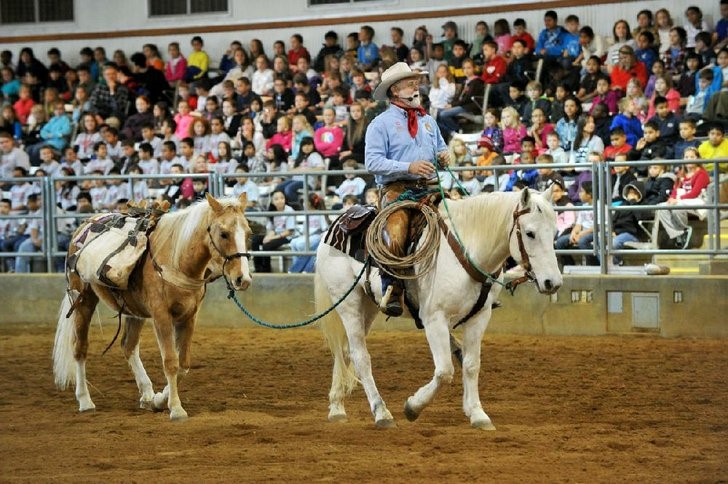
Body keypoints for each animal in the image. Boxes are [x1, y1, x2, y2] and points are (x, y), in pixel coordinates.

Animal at [54, 193, 253, 420]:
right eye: (224, 233)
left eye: (248, 233)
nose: (243, 279)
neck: (176, 259)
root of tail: (83, 227)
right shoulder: (161, 316)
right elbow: (170, 362)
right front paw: (176, 408)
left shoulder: (189, 316)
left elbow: (183, 364)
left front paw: (159, 400)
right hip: (83, 300)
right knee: (80, 348)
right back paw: (85, 400)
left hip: (133, 310)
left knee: (128, 346)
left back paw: (147, 394)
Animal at [314, 187, 564, 430]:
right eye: (530, 233)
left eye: (554, 232)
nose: (553, 282)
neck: (467, 252)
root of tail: (335, 226)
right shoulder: (434, 319)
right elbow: (444, 371)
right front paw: (412, 406)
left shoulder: (480, 316)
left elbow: (471, 365)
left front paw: (477, 413)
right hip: (349, 303)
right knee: (360, 356)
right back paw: (381, 413)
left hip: (369, 306)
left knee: (345, 350)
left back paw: (337, 407)